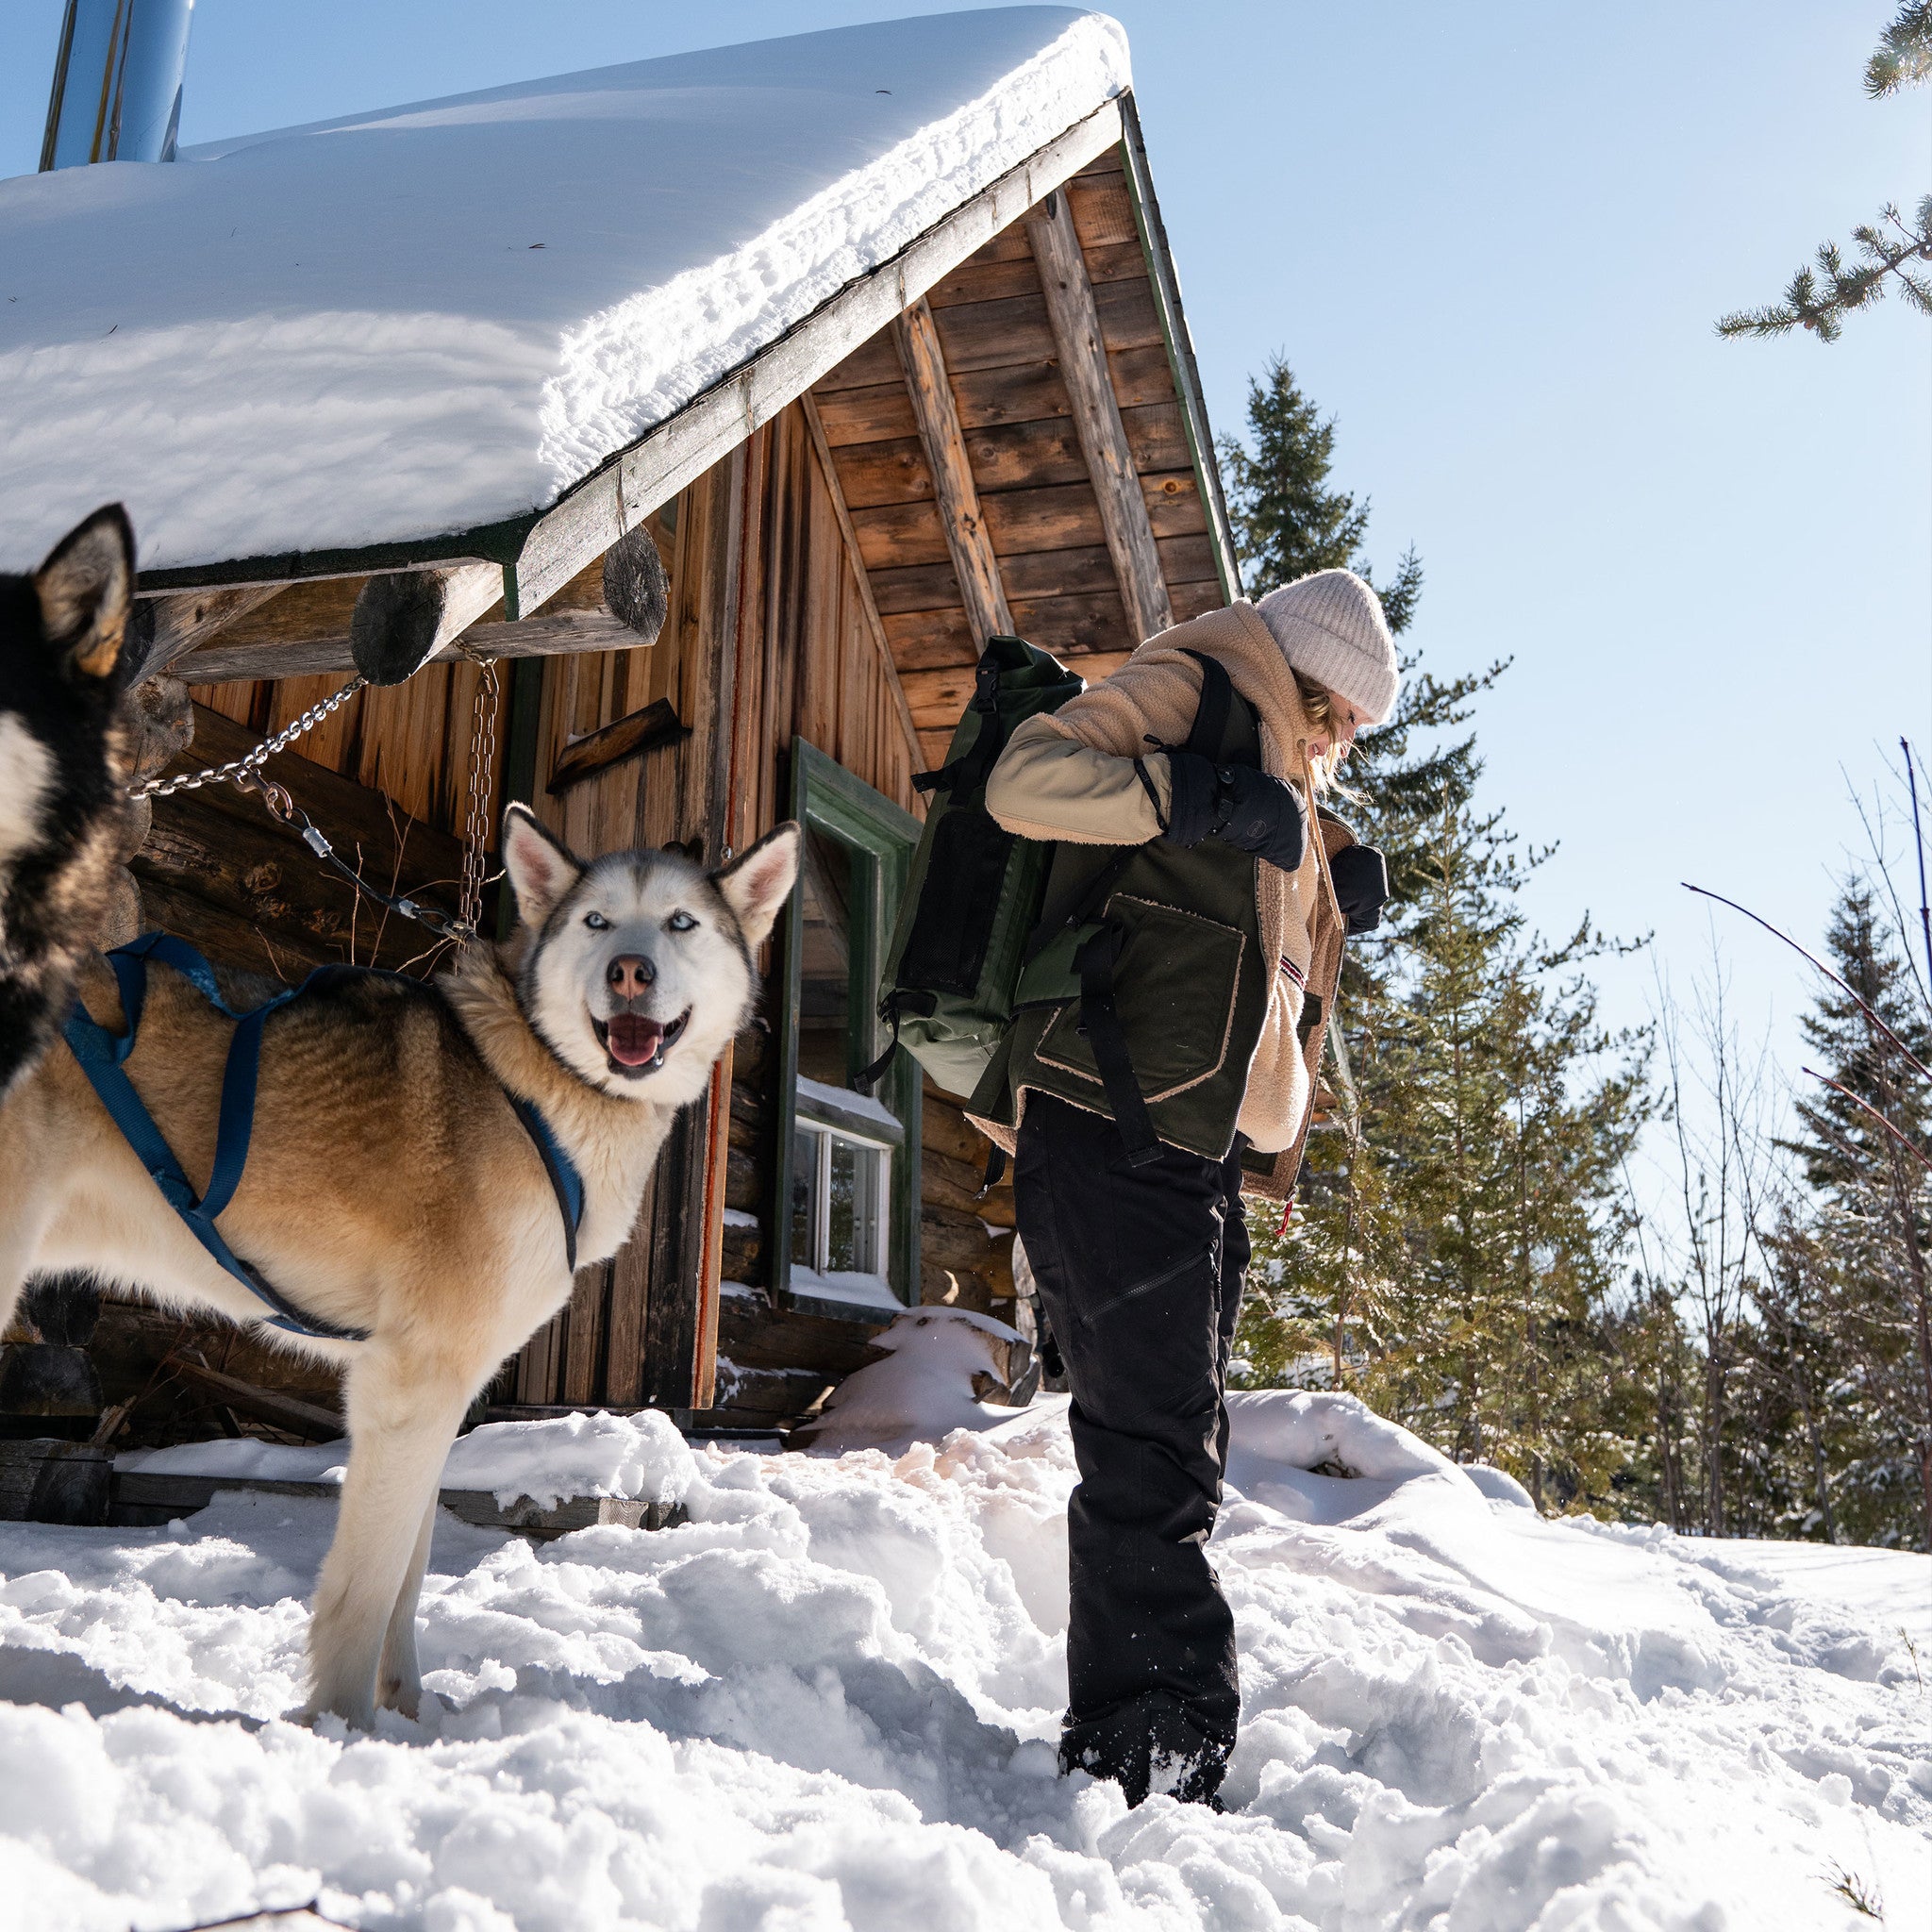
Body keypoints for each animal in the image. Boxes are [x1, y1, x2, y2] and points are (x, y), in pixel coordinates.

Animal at [0, 791, 795, 1731]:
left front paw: (408, 1715)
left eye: (680, 923)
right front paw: (342, 1731)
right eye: (597, 921)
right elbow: (368, 1588)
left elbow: (409, 1579)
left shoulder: (441, 1394)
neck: (540, 1082)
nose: (630, 972)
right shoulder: (407, 1383)